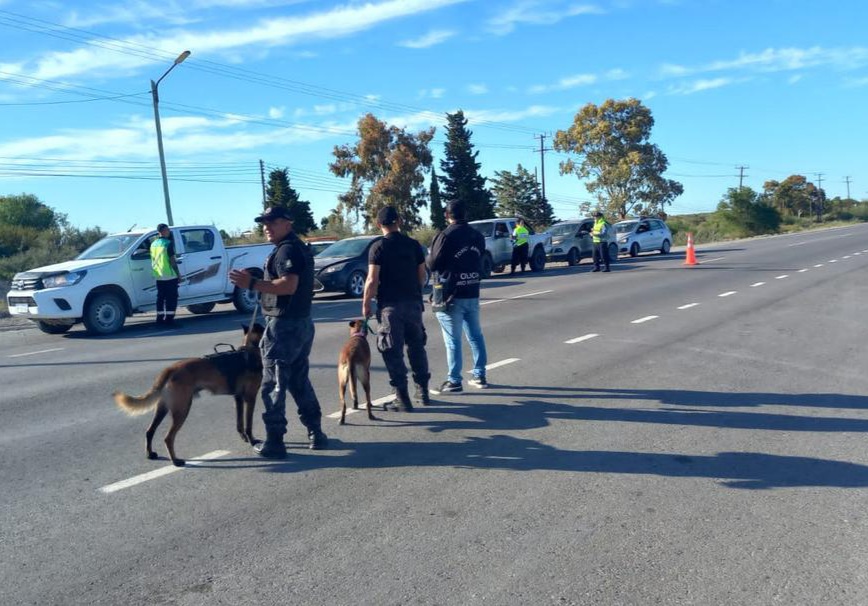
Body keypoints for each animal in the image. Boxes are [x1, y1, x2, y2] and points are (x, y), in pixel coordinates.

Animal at [115, 326, 264, 468]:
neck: (249, 351)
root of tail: (170, 369)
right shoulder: (250, 398)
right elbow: (248, 424)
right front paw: (252, 441)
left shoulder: (238, 398)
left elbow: (240, 423)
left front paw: (244, 438)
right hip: (182, 409)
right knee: (168, 438)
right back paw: (175, 461)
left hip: (163, 408)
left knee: (150, 431)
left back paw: (150, 454)